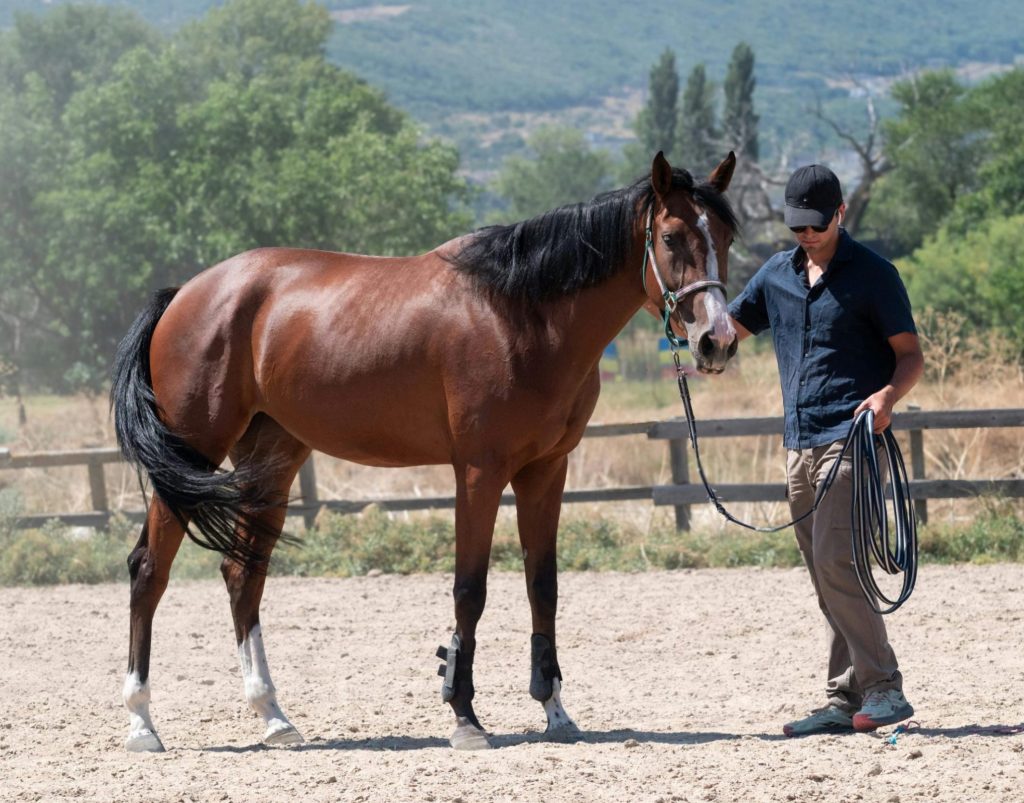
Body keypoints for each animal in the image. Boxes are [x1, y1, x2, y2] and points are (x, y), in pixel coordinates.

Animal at [110, 150, 739, 753]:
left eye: (727, 238)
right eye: (671, 238)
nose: (718, 341)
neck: (522, 314)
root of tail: (185, 295)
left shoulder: (545, 471)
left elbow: (543, 586)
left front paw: (555, 711)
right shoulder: (479, 472)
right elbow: (470, 589)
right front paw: (464, 717)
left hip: (272, 460)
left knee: (243, 574)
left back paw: (274, 717)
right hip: (192, 454)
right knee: (150, 570)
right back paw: (142, 725)